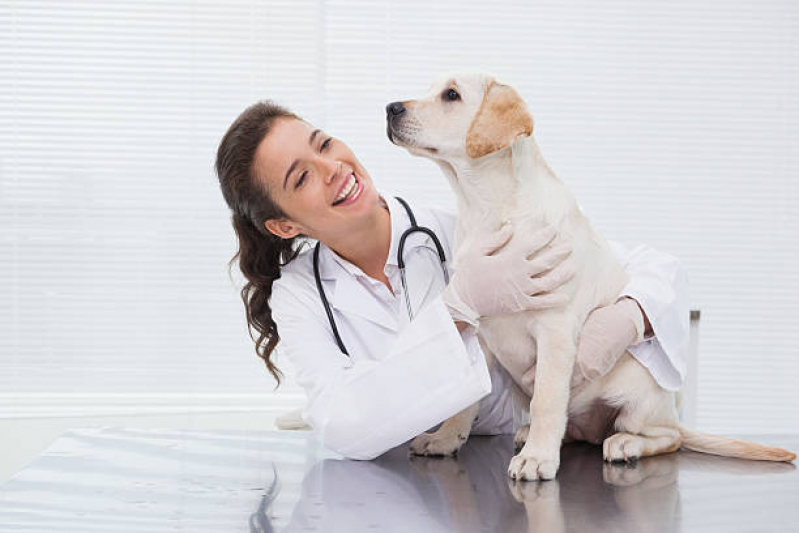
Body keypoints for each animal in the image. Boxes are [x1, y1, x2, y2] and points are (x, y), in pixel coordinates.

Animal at [386, 68, 792, 480]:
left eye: (451, 95)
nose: (390, 108)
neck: (488, 209)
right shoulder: (479, 333)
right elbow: (466, 402)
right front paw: (443, 439)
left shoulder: (555, 331)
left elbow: (547, 399)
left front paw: (537, 459)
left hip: (640, 389)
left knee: (667, 437)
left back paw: (623, 443)